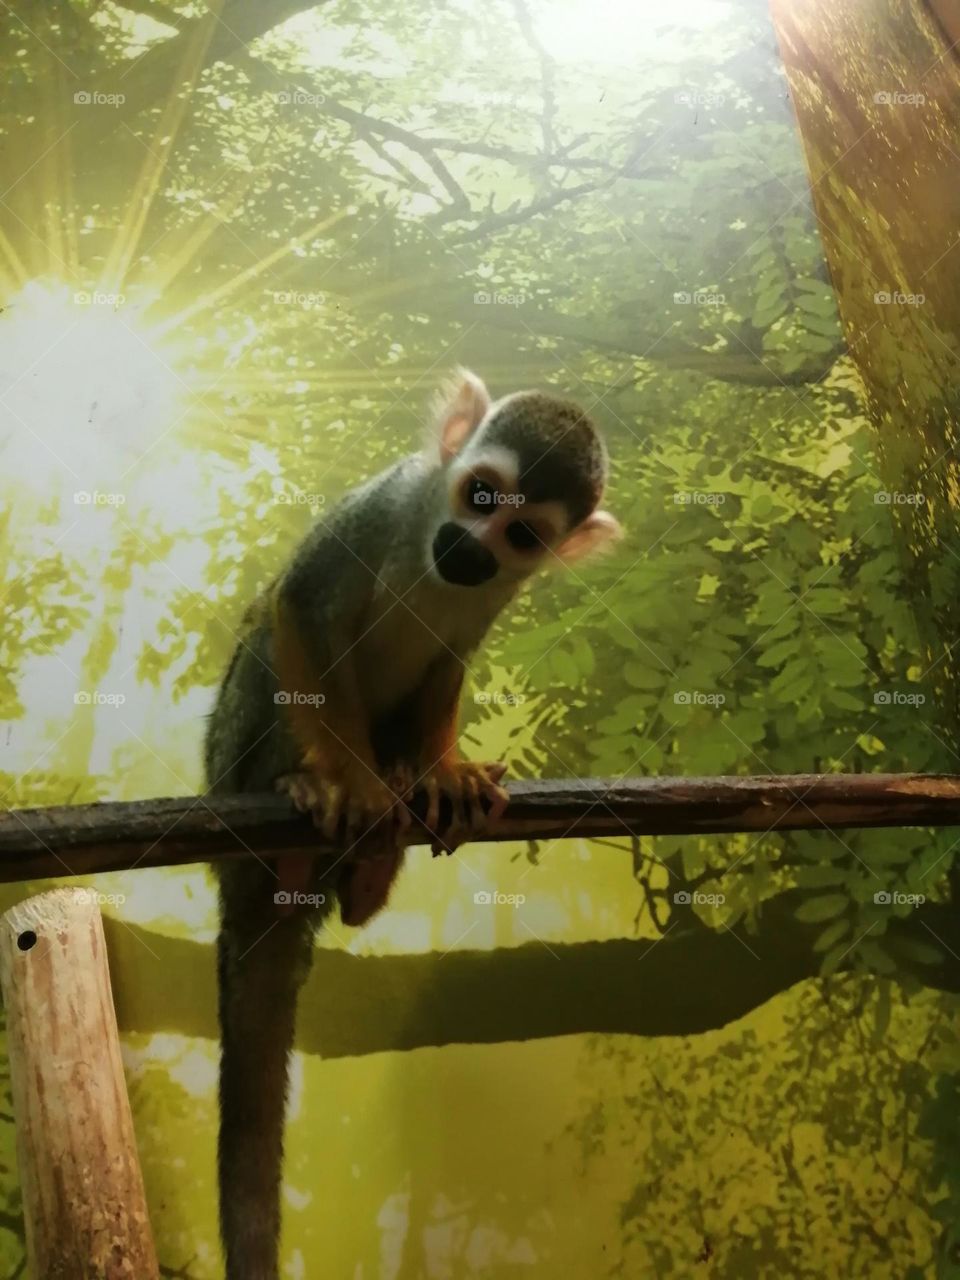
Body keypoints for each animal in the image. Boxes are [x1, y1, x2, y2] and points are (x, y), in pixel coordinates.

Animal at [203, 369, 620, 1280]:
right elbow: (300, 606)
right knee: (266, 641)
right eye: (481, 493)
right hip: (229, 755)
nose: (471, 547)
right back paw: (308, 800)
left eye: (521, 533)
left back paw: (364, 874)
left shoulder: (498, 592)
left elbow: (447, 663)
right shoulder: (386, 504)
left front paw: (440, 772)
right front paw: (354, 784)